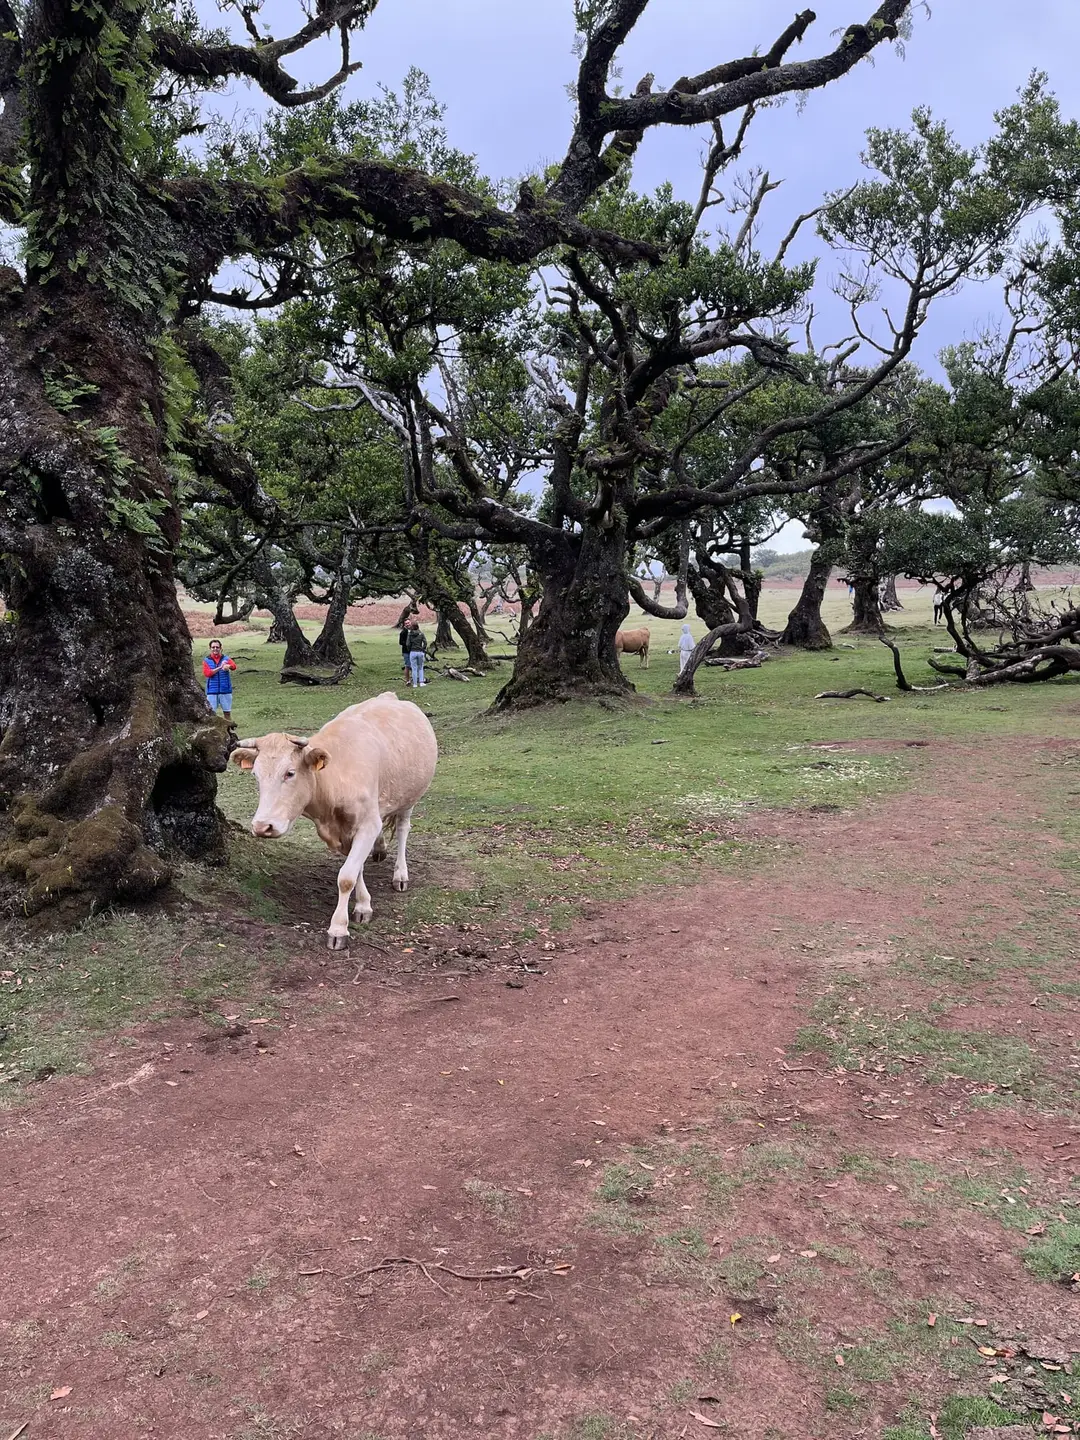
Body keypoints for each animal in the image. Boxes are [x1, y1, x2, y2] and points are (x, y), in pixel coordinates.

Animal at [231, 692, 438, 950]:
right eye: (255, 774)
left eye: (290, 773)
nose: (262, 826)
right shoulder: (348, 829)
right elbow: (357, 868)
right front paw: (363, 905)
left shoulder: (367, 824)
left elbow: (347, 876)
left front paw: (338, 928)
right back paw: (379, 849)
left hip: (410, 796)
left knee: (402, 828)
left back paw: (400, 875)